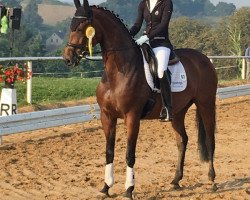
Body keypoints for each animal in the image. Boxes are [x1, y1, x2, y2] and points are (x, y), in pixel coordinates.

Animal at [63, 0, 218, 198]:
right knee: (182, 140)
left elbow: (130, 153)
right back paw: (176, 180)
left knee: (210, 140)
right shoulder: (107, 116)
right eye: (71, 26)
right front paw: (106, 187)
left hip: (206, 104)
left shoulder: (132, 117)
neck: (118, 71)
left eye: (82, 27)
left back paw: (212, 180)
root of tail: (204, 59)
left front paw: (129, 189)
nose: (68, 58)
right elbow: (109, 152)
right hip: (178, 112)